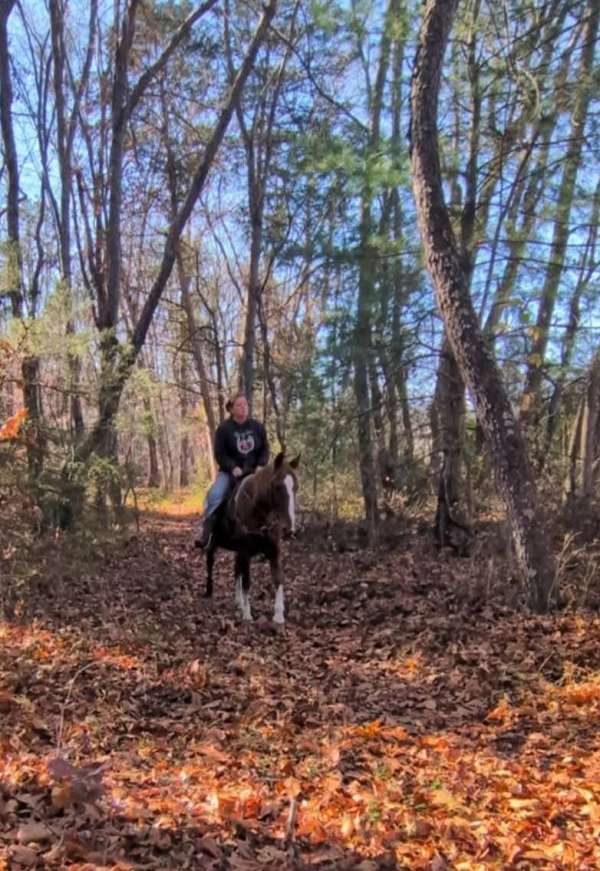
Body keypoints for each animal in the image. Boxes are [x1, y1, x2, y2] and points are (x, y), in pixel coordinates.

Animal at [204, 451, 300, 627]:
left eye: (296, 487)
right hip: (213, 545)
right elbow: (247, 582)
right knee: (210, 564)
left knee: (236, 572)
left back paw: (238, 602)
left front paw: (278, 615)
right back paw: (209, 591)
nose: (288, 530)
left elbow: (278, 579)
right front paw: (247, 614)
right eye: (277, 487)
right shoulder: (245, 553)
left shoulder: (274, 551)